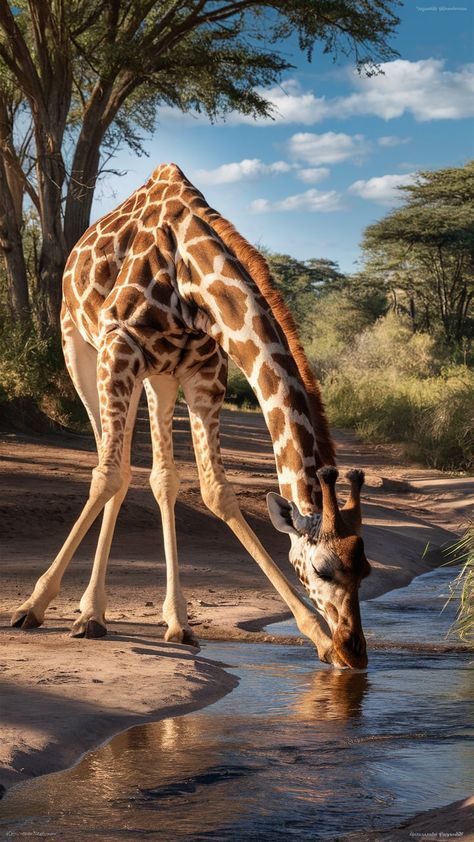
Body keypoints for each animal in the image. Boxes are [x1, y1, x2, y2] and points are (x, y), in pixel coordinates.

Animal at [11, 164, 370, 668]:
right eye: (321, 569)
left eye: (366, 570)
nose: (354, 650)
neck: (190, 275)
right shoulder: (119, 346)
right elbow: (105, 476)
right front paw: (35, 605)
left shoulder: (205, 371)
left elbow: (216, 491)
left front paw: (316, 636)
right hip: (79, 348)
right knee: (112, 466)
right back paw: (87, 612)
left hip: (159, 379)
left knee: (156, 476)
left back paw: (167, 620)